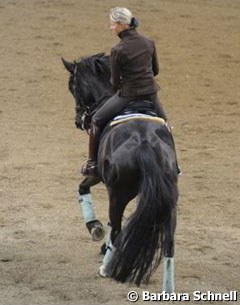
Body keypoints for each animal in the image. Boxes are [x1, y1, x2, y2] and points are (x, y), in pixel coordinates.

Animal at [62, 53, 179, 288]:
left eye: (72, 86)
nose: (79, 121)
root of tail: (144, 144)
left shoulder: (97, 174)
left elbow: (82, 187)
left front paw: (95, 228)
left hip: (117, 194)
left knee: (116, 227)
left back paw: (106, 267)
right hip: (169, 201)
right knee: (169, 243)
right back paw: (168, 287)